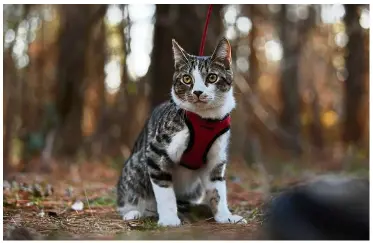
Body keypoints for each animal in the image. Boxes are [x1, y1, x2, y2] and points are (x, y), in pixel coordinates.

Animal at [115, 37, 246, 227]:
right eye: (186, 78)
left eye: (212, 77)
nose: (197, 92)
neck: (205, 119)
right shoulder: (156, 152)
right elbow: (165, 191)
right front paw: (169, 220)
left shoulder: (216, 158)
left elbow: (217, 189)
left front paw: (225, 216)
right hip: (136, 162)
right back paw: (134, 213)